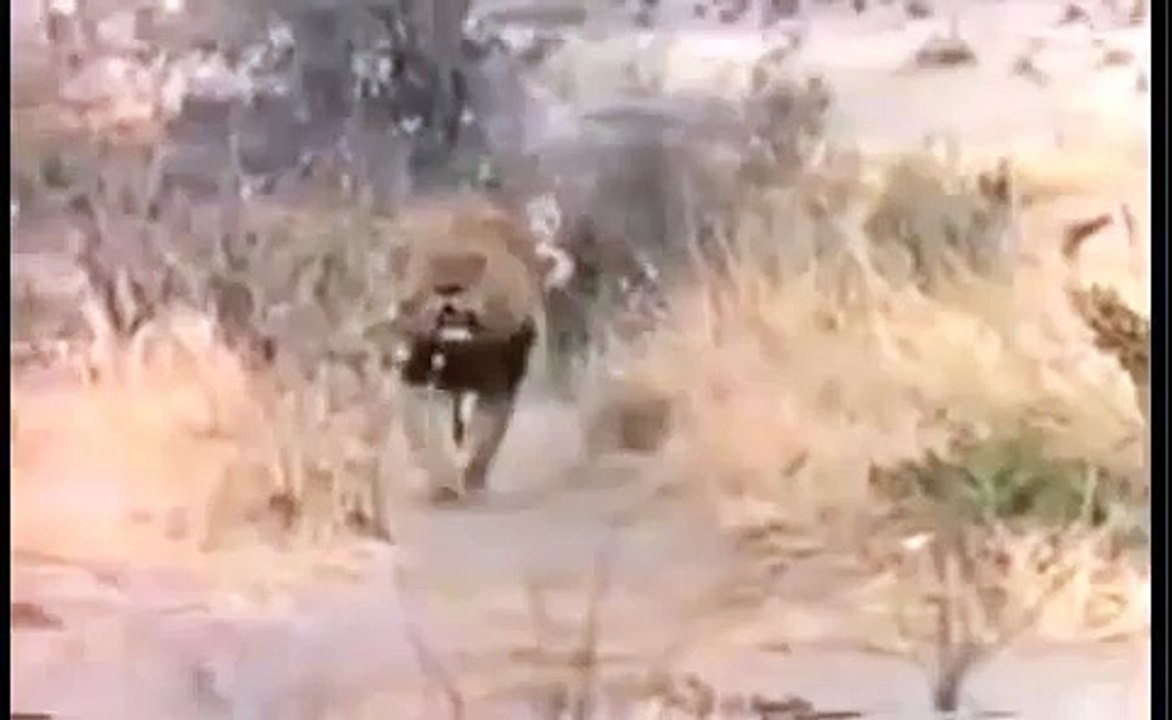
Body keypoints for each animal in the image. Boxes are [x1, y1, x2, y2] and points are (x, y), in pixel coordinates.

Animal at [373, 192, 574, 504]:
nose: (449, 286)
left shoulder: (498, 387)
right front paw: (444, 486)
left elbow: (486, 438)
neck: (461, 352)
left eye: (479, 262)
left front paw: (472, 480)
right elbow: (428, 436)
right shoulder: (416, 381)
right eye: (426, 258)